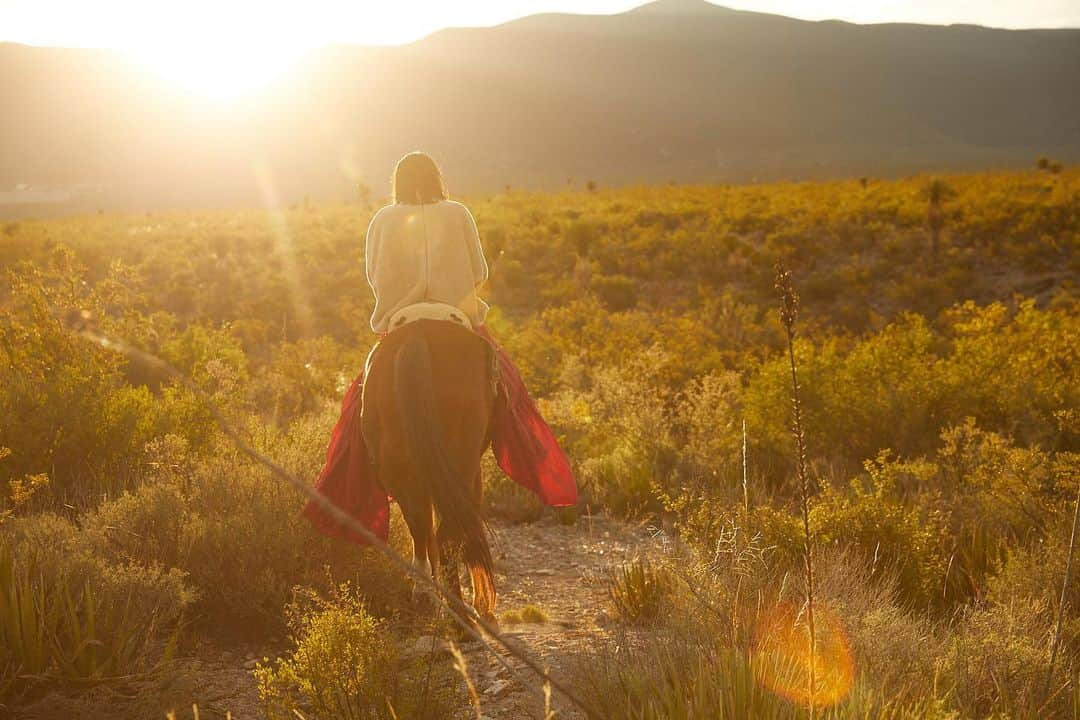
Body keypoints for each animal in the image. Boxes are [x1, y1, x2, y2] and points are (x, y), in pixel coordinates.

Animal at [360, 317, 498, 621]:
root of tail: (416, 339)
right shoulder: (472, 476)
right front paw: (483, 604)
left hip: (403, 470)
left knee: (421, 529)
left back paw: (425, 597)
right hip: (460, 464)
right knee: (447, 536)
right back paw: (461, 616)